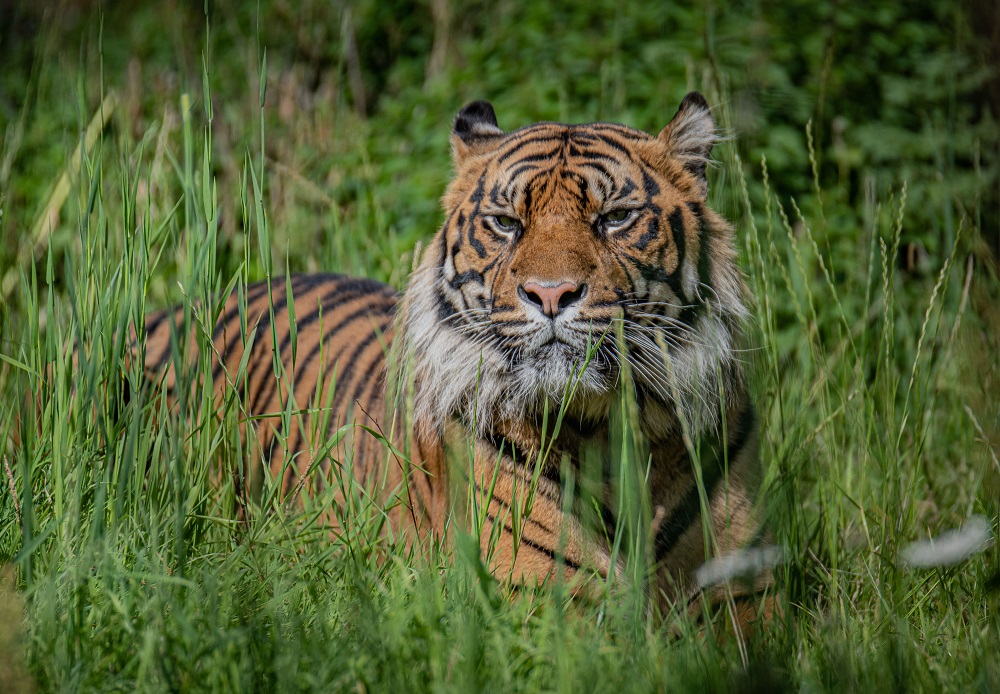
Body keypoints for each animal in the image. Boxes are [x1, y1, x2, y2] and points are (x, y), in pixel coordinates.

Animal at [129, 91, 760, 616]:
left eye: (615, 218)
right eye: (506, 223)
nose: (551, 294)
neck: (609, 426)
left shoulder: (744, 592)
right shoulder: (538, 601)